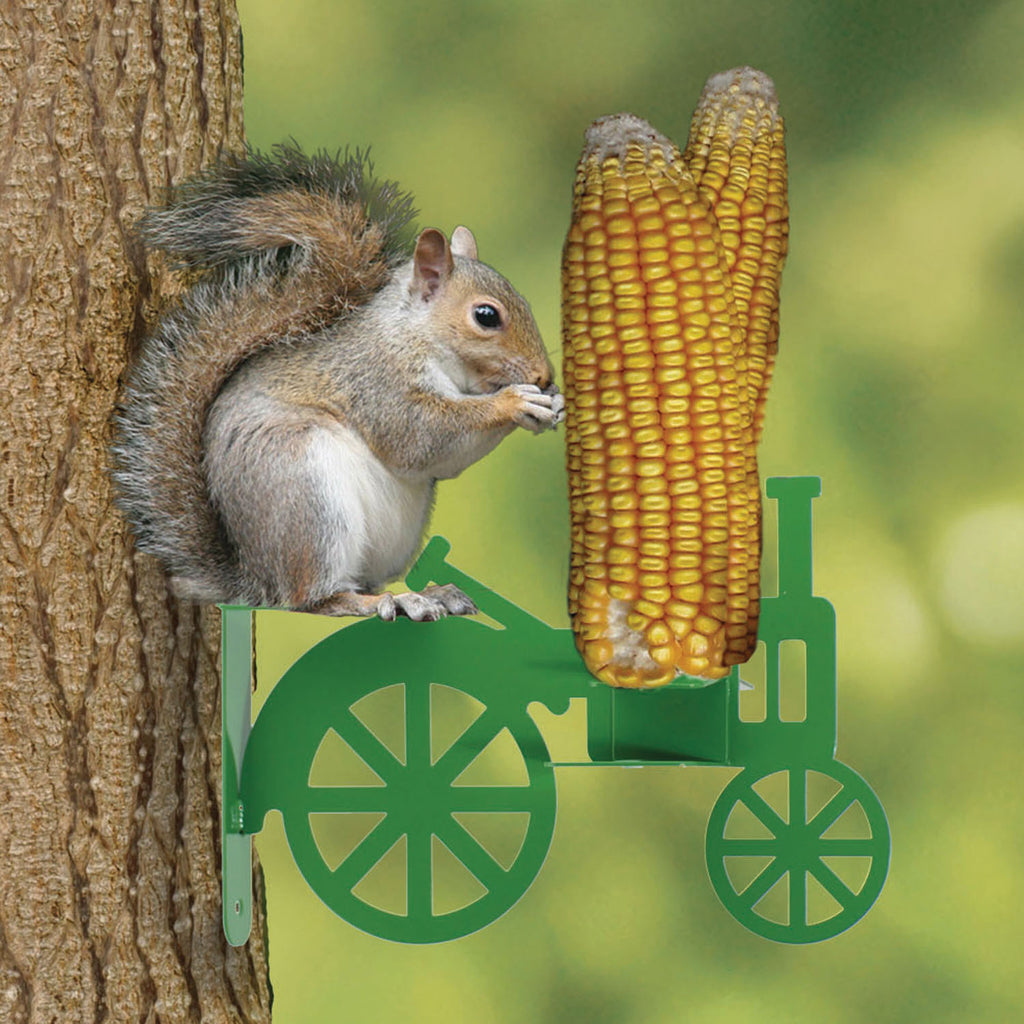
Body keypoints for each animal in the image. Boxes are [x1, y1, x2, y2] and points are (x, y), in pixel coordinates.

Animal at [112, 144, 563, 621]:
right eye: (486, 315)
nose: (543, 376)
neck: (413, 333)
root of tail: (255, 578)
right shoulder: (376, 380)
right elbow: (421, 437)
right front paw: (514, 403)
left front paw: (553, 404)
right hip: (307, 496)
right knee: (314, 599)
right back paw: (383, 601)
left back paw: (429, 593)